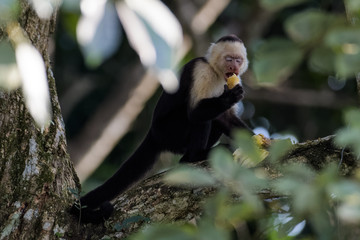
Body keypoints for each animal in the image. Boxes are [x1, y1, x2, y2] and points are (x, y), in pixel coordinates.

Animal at [71, 33, 253, 223]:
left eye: (239, 60)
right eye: (229, 59)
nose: (234, 66)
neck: (216, 73)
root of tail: (153, 132)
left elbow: (227, 119)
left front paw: (258, 143)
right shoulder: (202, 70)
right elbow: (195, 113)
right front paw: (229, 97)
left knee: (215, 120)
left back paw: (189, 158)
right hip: (168, 132)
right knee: (198, 118)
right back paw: (196, 156)